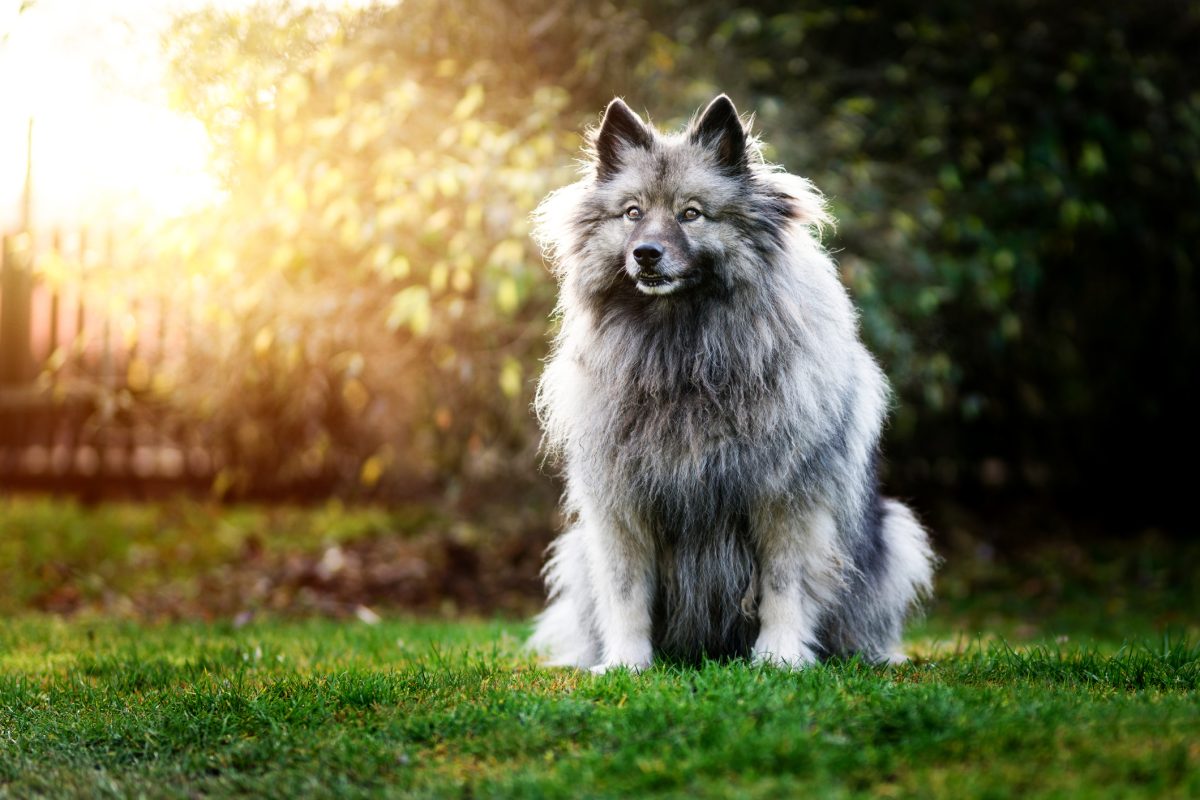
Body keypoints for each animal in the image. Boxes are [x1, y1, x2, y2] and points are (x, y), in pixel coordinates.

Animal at [530, 92, 931, 671]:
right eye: (632, 213)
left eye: (691, 214)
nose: (645, 254)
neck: (683, 354)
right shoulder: (621, 507)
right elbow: (625, 590)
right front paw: (626, 662)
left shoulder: (787, 499)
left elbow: (785, 583)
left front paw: (780, 655)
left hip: (894, 533)